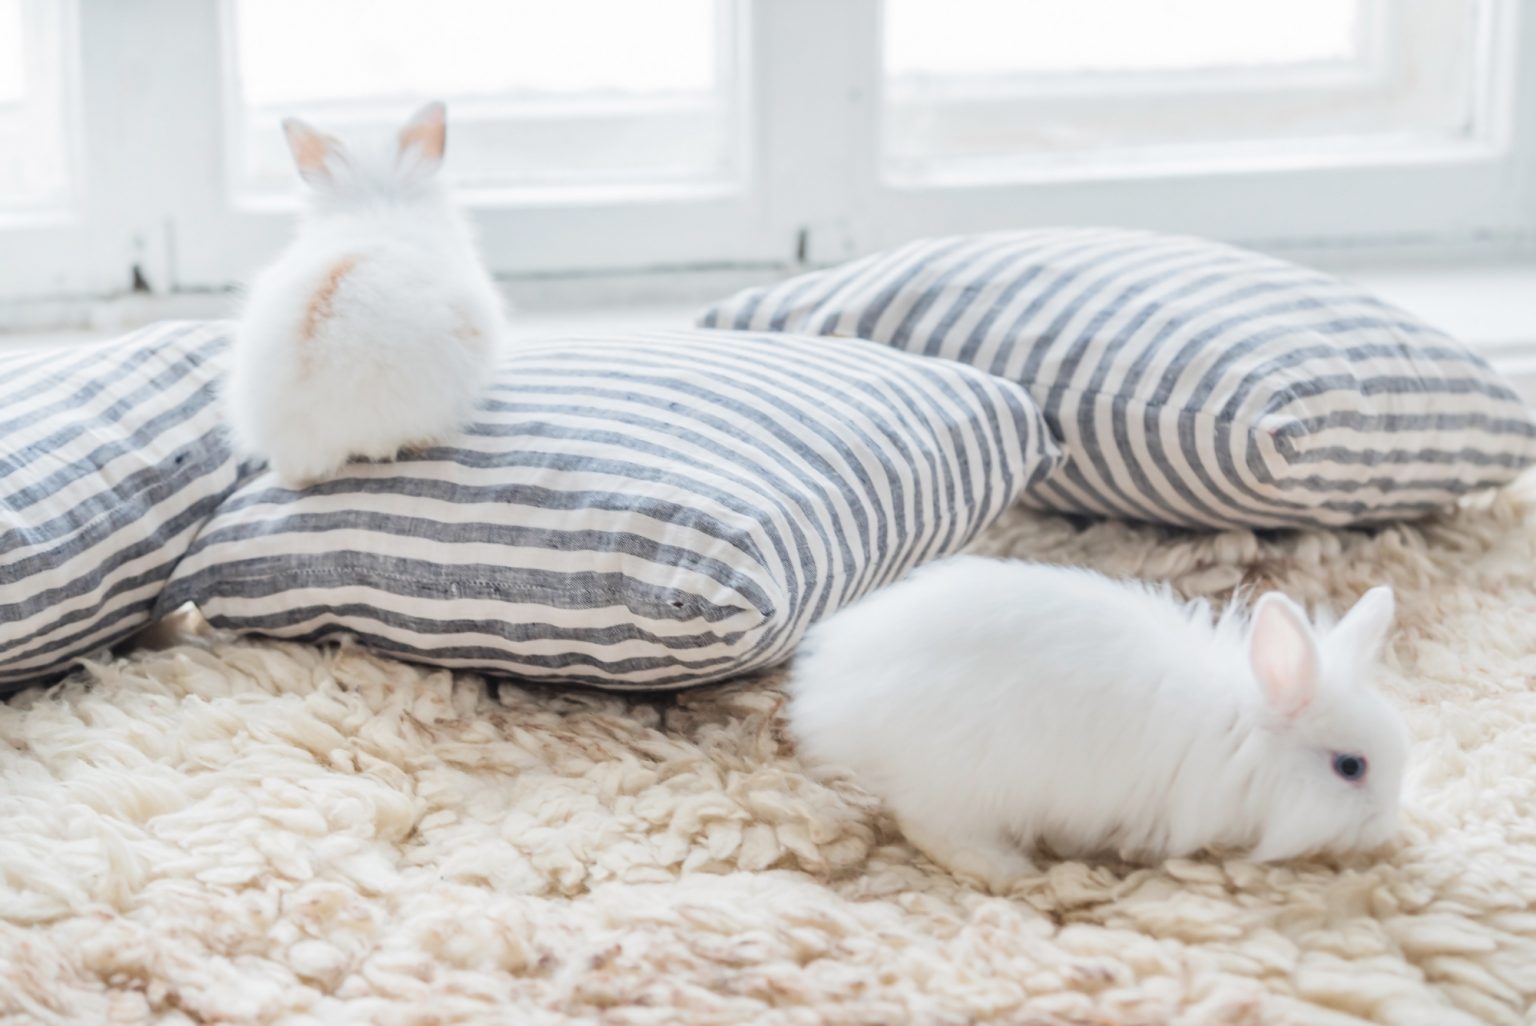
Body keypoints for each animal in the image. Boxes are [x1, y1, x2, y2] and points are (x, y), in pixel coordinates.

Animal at [787, 555, 1409, 893]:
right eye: (1350, 767)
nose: (1384, 829)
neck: (1241, 730)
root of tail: (823, 697)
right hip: (970, 778)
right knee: (929, 827)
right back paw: (1006, 870)